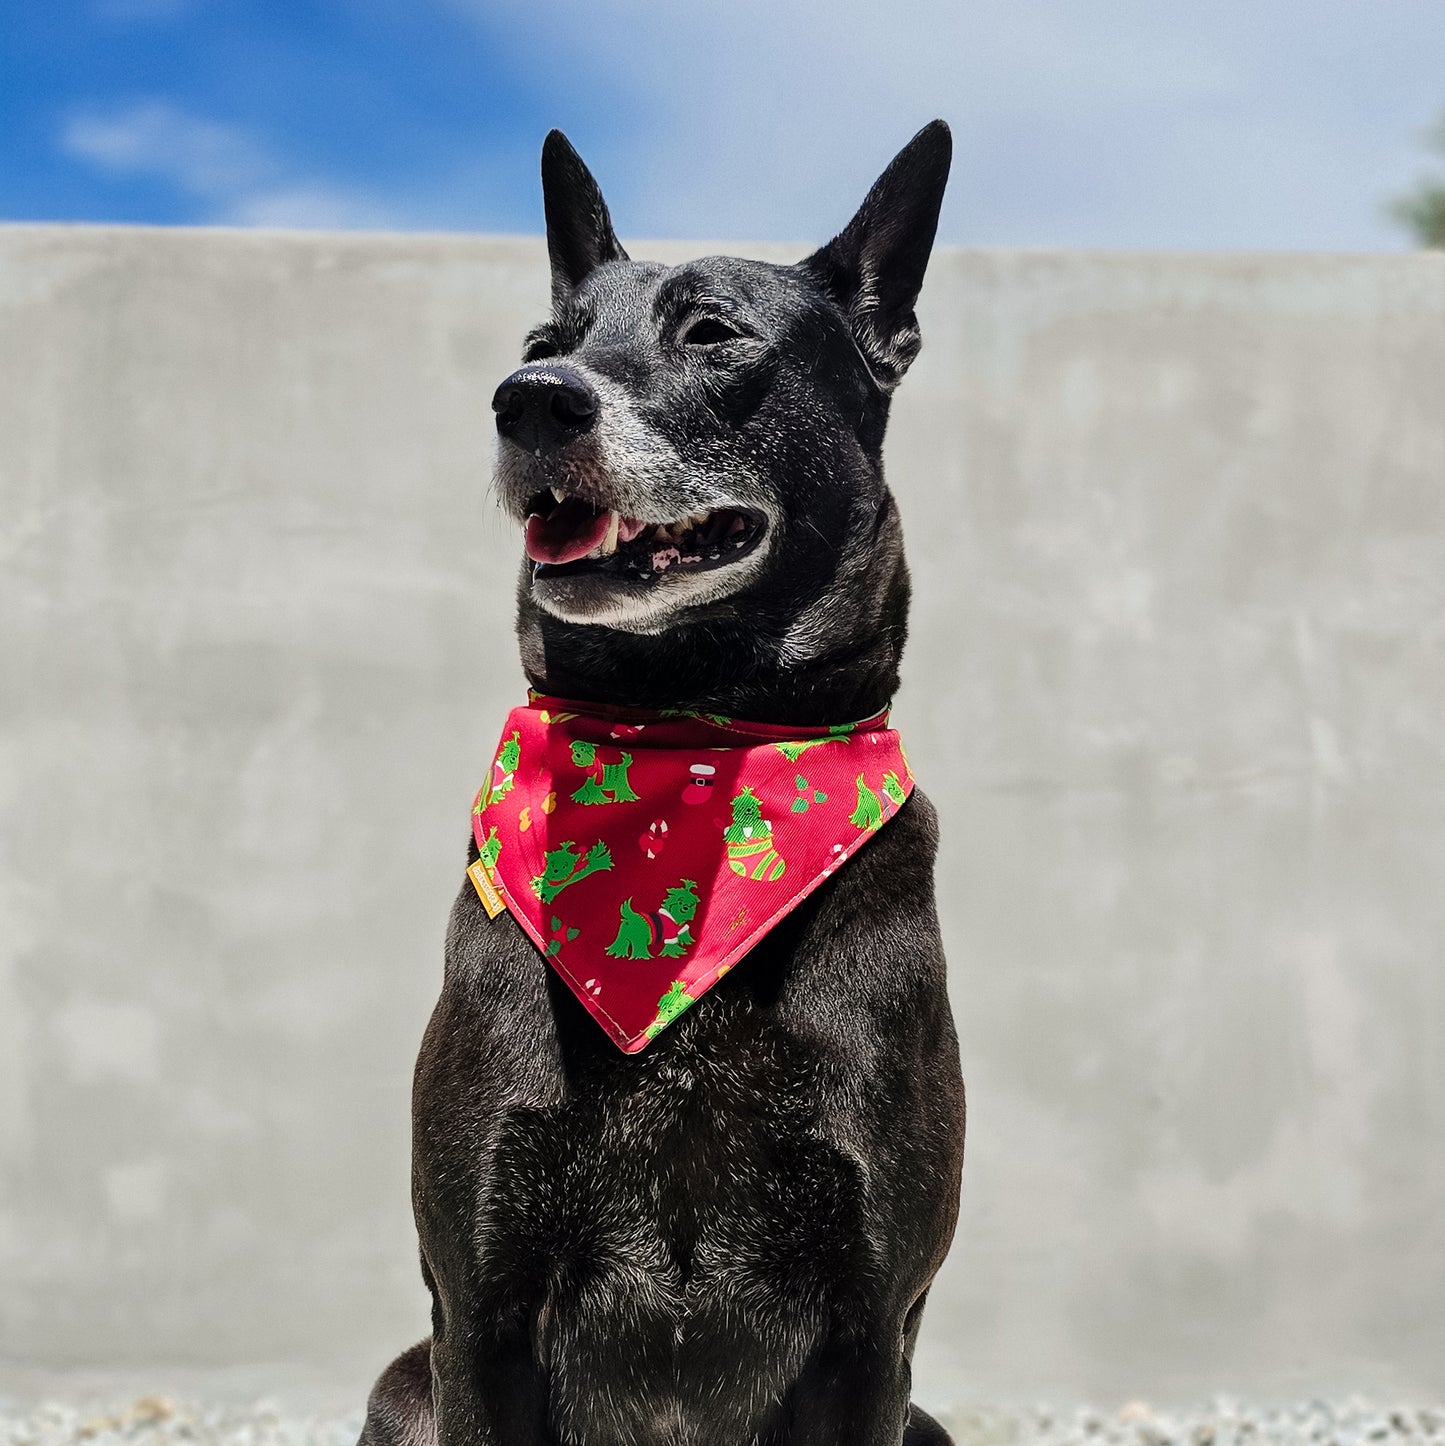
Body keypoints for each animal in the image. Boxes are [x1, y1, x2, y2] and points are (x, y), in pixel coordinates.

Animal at [361, 121, 966, 1446]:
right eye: (542, 341)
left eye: (712, 332)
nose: (529, 402)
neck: (687, 759)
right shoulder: (478, 1316)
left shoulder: (873, 1332)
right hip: (403, 1387)